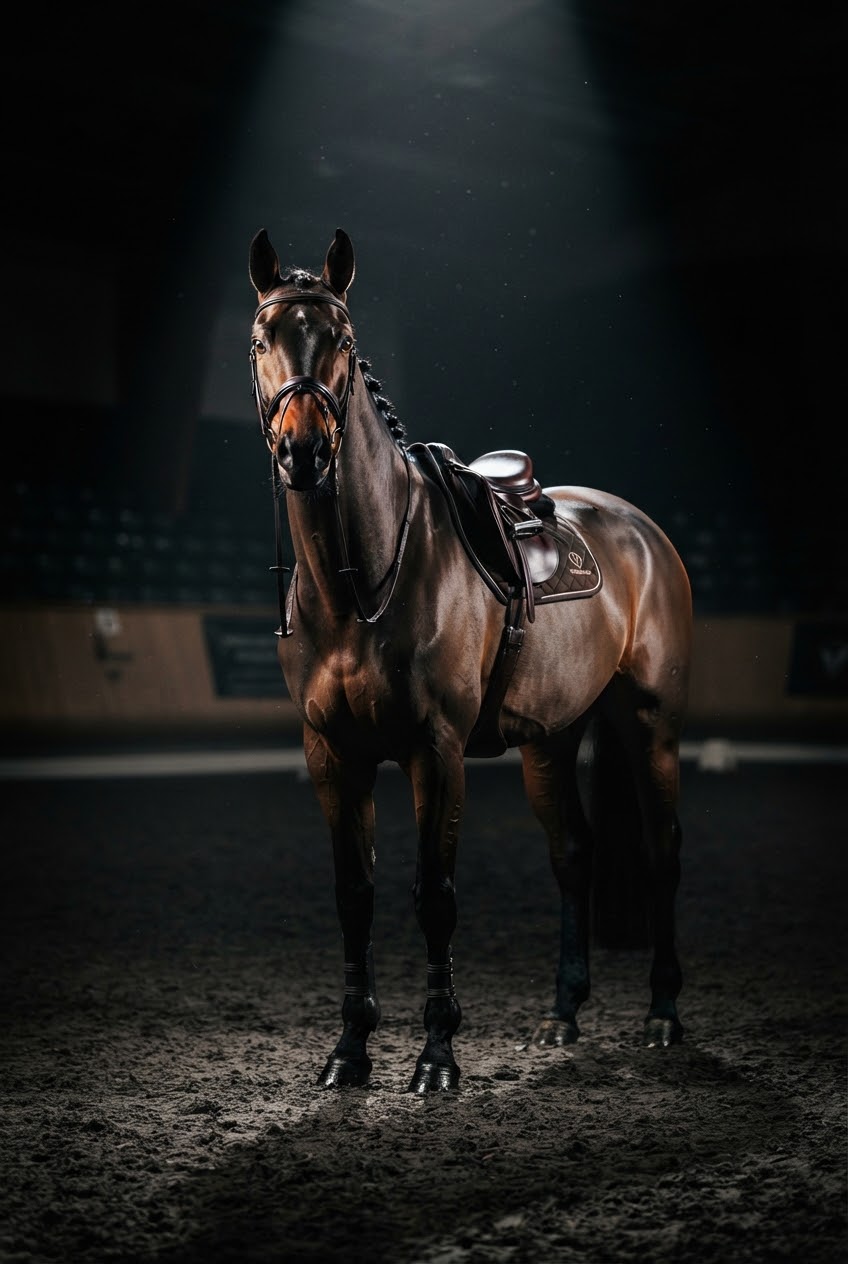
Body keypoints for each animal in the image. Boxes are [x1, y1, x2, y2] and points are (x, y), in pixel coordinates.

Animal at [248, 226, 693, 1094]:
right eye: (261, 340)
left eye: (344, 341)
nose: (304, 452)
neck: (362, 580)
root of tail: (640, 529)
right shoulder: (331, 752)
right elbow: (355, 894)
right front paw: (349, 1051)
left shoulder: (437, 750)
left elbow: (436, 896)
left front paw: (437, 1056)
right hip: (551, 740)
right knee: (573, 856)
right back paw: (562, 1015)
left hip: (648, 722)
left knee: (662, 851)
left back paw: (662, 1014)